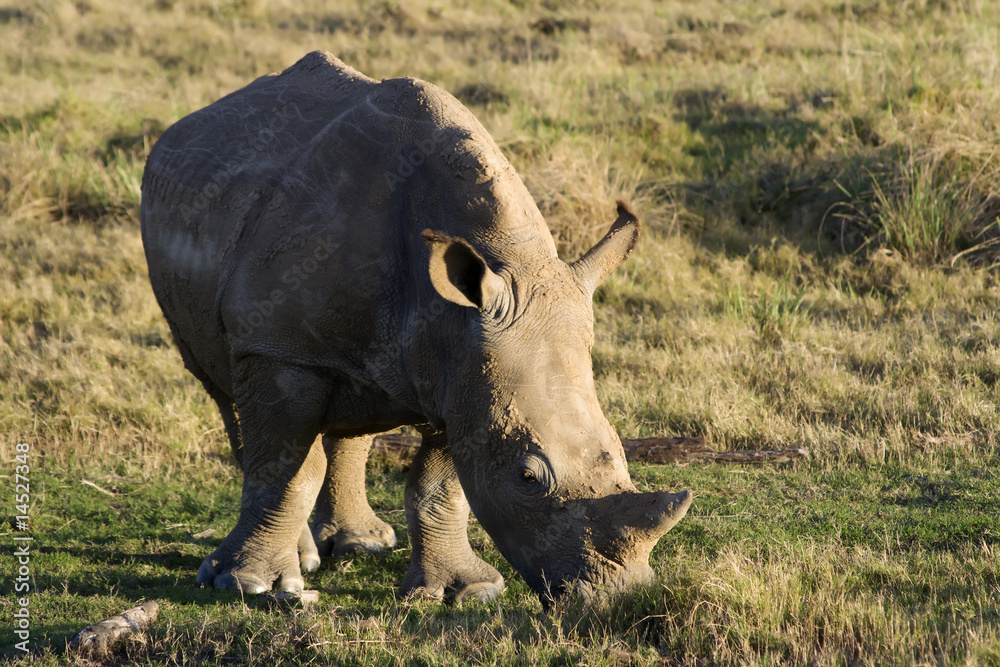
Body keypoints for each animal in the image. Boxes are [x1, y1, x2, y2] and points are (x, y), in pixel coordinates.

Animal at [140, 51, 691, 604]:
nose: (617, 593)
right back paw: (294, 560)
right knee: (229, 396)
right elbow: (284, 467)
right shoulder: (279, 346)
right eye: (527, 476)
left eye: (618, 448)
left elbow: (441, 485)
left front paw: (466, 591)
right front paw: (248, 586)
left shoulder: (465, 363)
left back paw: (361, 545)